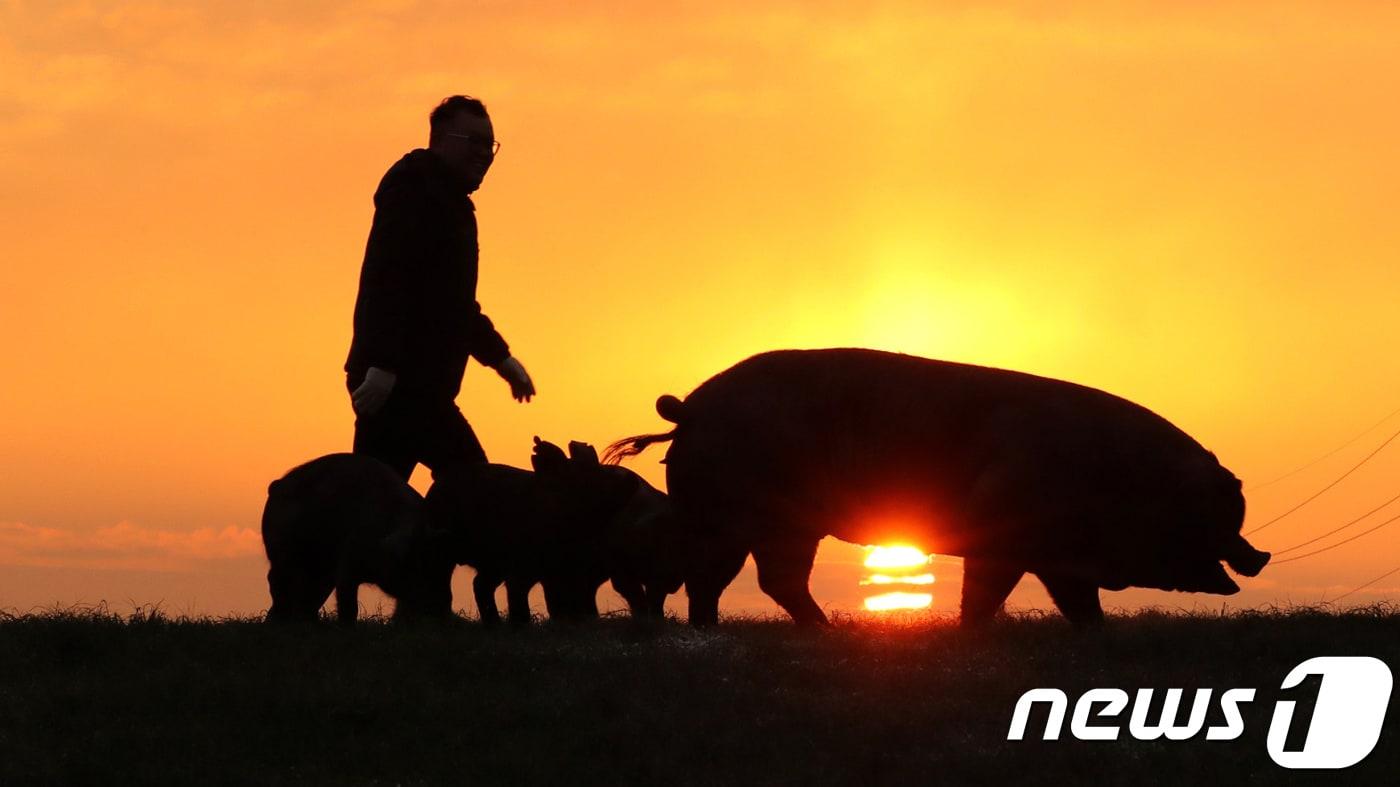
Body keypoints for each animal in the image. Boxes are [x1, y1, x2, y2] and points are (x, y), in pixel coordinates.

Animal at [263, 450, 453, 621]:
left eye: (443, 567)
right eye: (417, 564)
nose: (442, 607)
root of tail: (277, 485)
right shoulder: (348, 562)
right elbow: (348, 603)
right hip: (280, 550)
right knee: (277, 580)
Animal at [607, 347, 1276, 624]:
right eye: (1220, 514)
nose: (1260, 555)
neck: (1121, 478)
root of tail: (689, 409)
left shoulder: (1055, 556)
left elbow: (1077, 603)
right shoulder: (1005, 538)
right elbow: (985, 595)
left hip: (754, 524)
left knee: (742, 580)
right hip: (742, 518)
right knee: (737, 578)